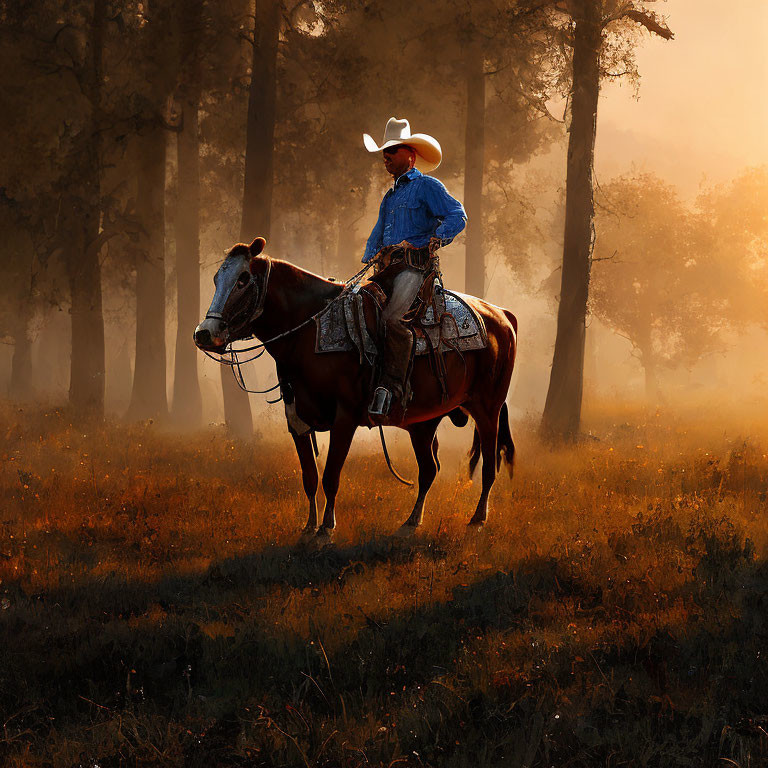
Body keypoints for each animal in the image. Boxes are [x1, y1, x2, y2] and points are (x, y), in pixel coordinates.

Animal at [194, 240, 516, 540]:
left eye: (242, 279)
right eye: (216, 278)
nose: (204, 334)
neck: (310, 332)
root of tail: (500, 314)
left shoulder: (345, 418)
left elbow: (330, 475)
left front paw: (326, 528)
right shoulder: (296, 420)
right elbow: (309, 477)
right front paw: (308, 527)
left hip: (488, 409)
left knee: (489, 465)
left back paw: (477, 519)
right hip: (423, 424)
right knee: (429, 469)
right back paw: (410, 523)